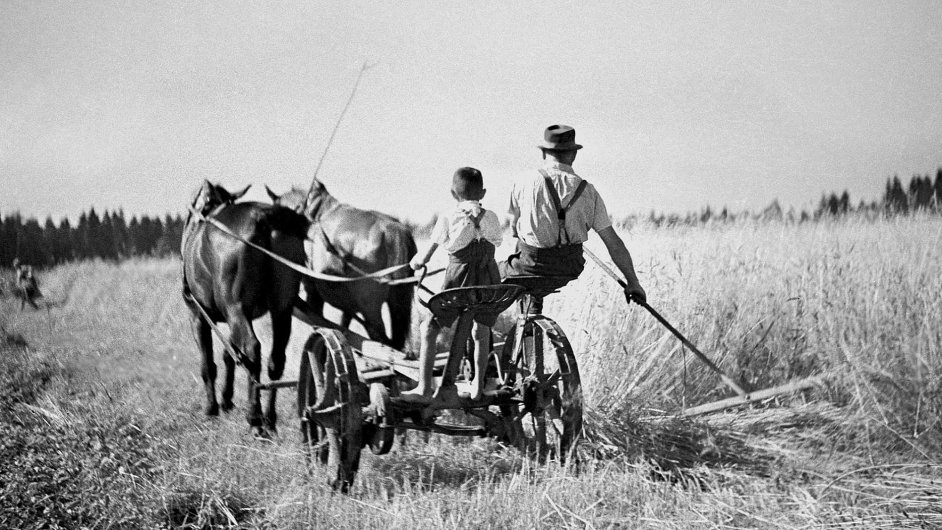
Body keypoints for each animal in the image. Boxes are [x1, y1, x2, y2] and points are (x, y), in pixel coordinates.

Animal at [186, 179, 312, 436]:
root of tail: (263, 219)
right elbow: (230, 355)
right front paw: (226, 399)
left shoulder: (198, 314)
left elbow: (208, 363)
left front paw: (212, 408)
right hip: (281, 307)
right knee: (275, 359)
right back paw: (269, 418)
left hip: (235, 306)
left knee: (253, 350)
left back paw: (255, 417)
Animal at [264, 179, 414, 348]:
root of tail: (391, 231)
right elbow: (345, 321)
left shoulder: (312, 289)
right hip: (399, 302)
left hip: (370, 307)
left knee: (380, 337)